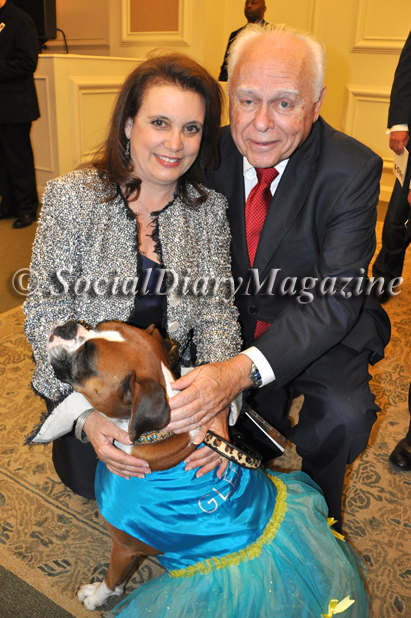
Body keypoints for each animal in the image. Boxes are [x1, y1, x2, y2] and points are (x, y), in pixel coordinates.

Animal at [46, 320, 200, 608]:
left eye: (88, 357)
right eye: (99, 325)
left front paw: (95, 598)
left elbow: (110, 578)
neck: (155, 436)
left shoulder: (124, 549)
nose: (69, 326)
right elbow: (119, 580)